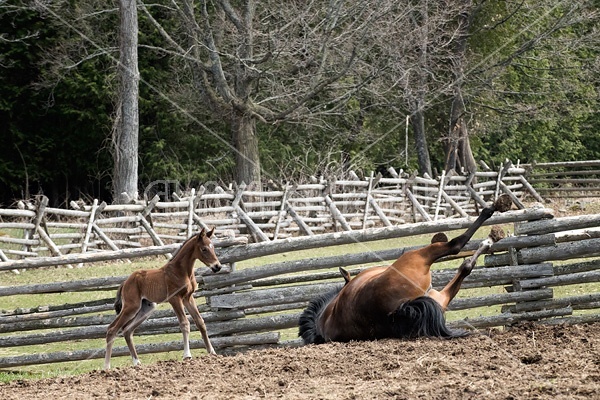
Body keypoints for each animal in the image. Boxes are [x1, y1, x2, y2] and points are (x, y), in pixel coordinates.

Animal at [104, 227, 221, 370]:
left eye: (213, 246)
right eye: (204, 249)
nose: (217, 266)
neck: (181, 271)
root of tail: (125, 282)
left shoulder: (188, 298)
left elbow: (200, 322)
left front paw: (212, 352)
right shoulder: (175, 299)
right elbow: (184, 323)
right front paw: (187, 355)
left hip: (146, 309)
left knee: (127, 330)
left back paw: (137, 362)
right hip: (131, 307)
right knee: (112, 329)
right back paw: (107, 367)